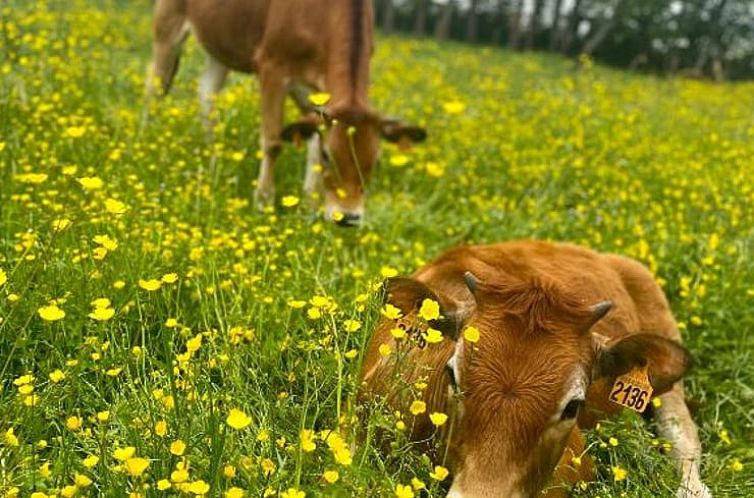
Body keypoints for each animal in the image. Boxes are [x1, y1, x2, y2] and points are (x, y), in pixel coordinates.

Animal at [147, 0, 426, 226]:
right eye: (329, 156)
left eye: (376, 160)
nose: (348, 217)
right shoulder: (272, 66)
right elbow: (273, 142)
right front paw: (263, 202)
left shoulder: (317, 91)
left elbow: (312, 142)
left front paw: (310, 206)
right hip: (168, 23)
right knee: (155, 84)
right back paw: (147, 139)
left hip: (219, 42)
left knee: (207, 92)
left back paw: (214, 155)